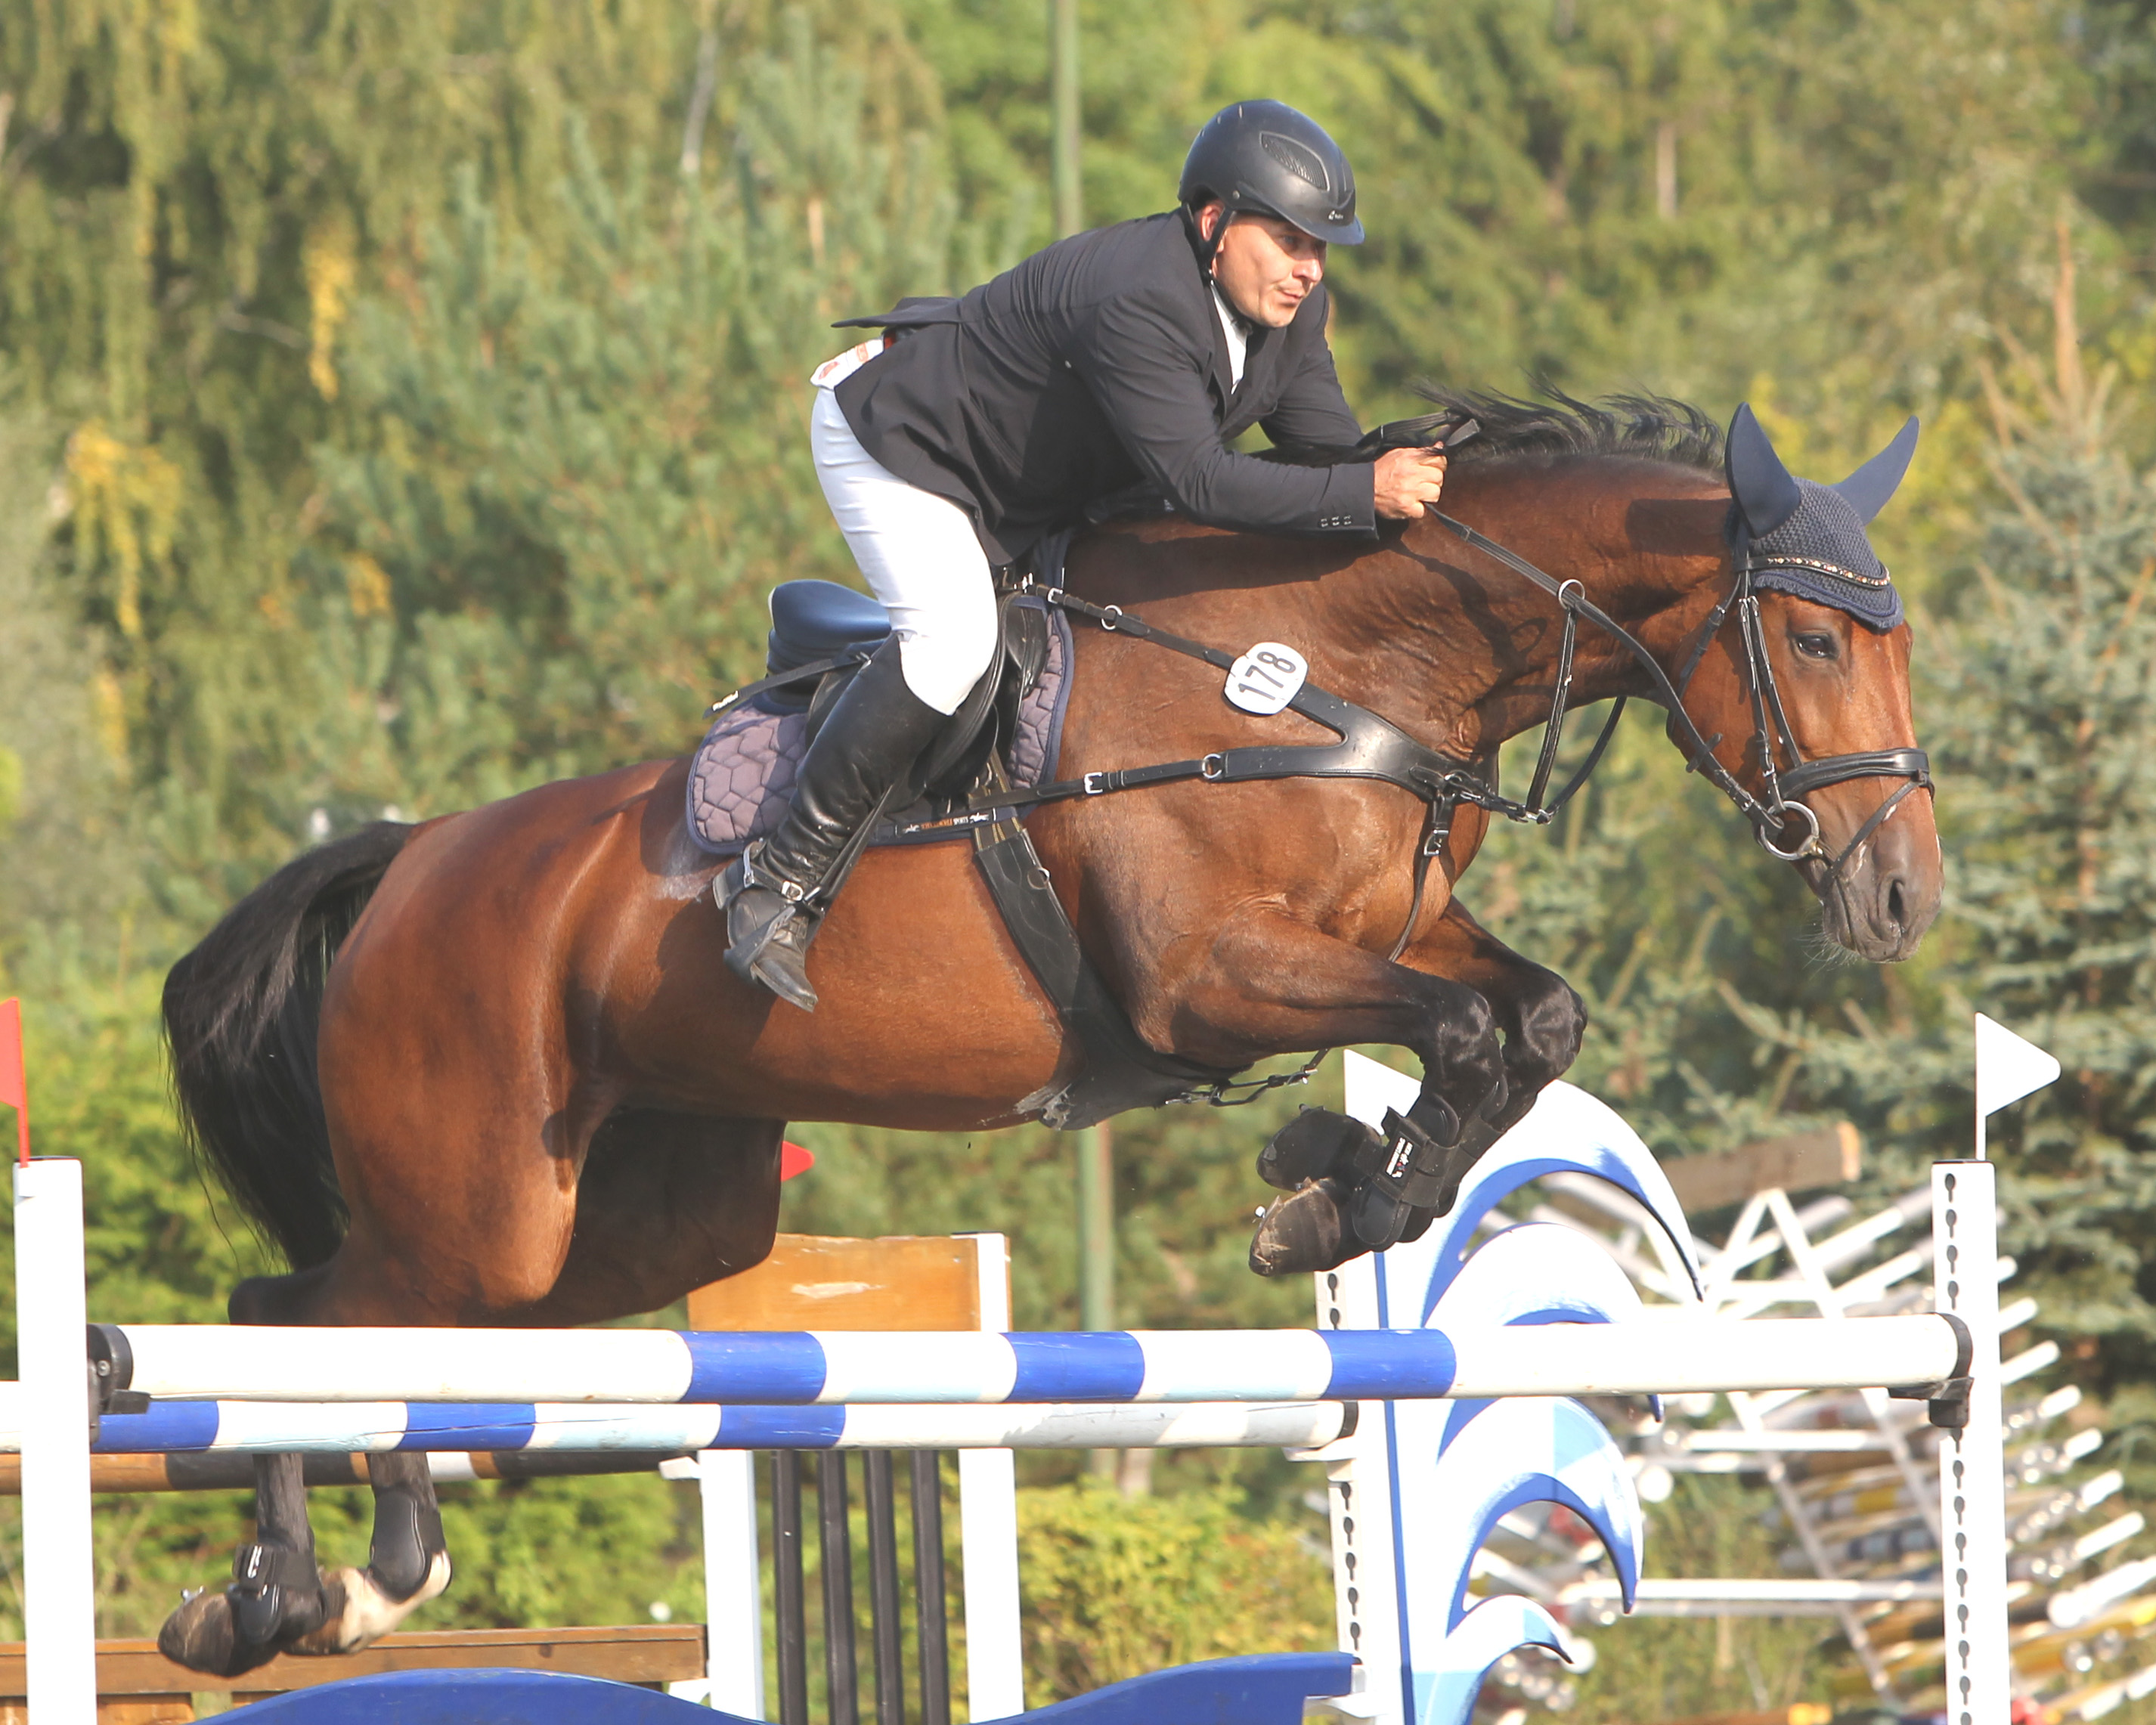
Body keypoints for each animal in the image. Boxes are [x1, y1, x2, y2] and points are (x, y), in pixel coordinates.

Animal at [152, 395, 1940, 1673]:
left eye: (1894, 637)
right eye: (1814, 639)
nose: (1901, 894)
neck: (1334, 666)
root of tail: (412, 857)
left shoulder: (1382, 933)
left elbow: (1528, 1019)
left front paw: (1335, 1174)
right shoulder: (1203, 977)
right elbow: (1468, 1031)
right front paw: (1324, 1188)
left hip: (639, 1224)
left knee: (349, 1331)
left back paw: (314, 1590)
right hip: (484, 1206)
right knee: (291, 1327)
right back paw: (316, 1592)